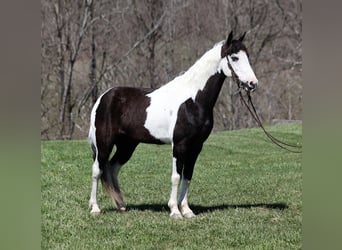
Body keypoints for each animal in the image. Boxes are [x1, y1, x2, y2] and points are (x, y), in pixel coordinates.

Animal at [87, 31, 258, 219]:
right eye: (234, 58)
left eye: (247, 56)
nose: (253, 83)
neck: (193, 100)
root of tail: (103, 97)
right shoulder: (179, 145)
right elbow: (176, 177)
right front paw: (175, 211)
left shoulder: (196, 146)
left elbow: (187, 176)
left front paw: (187, 210)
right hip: (104, 143)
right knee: (97, 170)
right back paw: (95, 208)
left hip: (127, 145)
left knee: (112, 168)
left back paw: (121, 205)